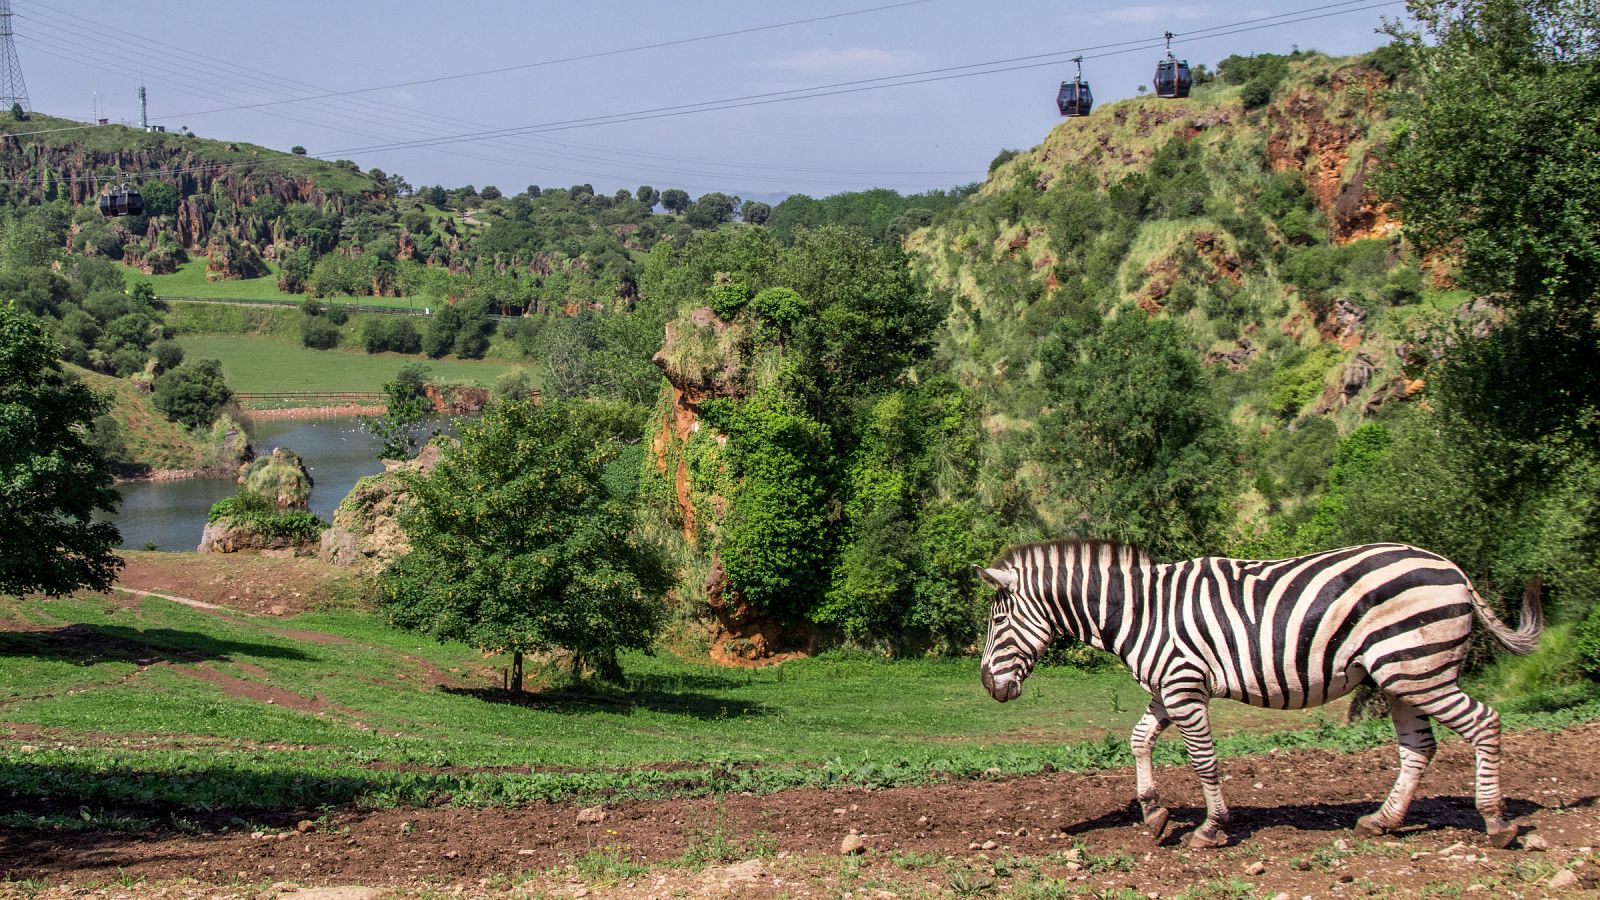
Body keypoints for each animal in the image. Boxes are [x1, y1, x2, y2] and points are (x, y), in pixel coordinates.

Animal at [972, 538, 1536, 845]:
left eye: (998, 623)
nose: (987, 685)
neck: (1139, 610)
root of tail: (1451, 567)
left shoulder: (1184, 687)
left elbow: (1204, 761)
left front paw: (1211, 828)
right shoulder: (1168, 687)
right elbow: (1138, 740)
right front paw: (1154, 814)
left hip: (1420, 669)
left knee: (1484, 723)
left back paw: (1496, 823)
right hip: (1400, 676)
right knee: (1419, 747)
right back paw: (1382, 821)